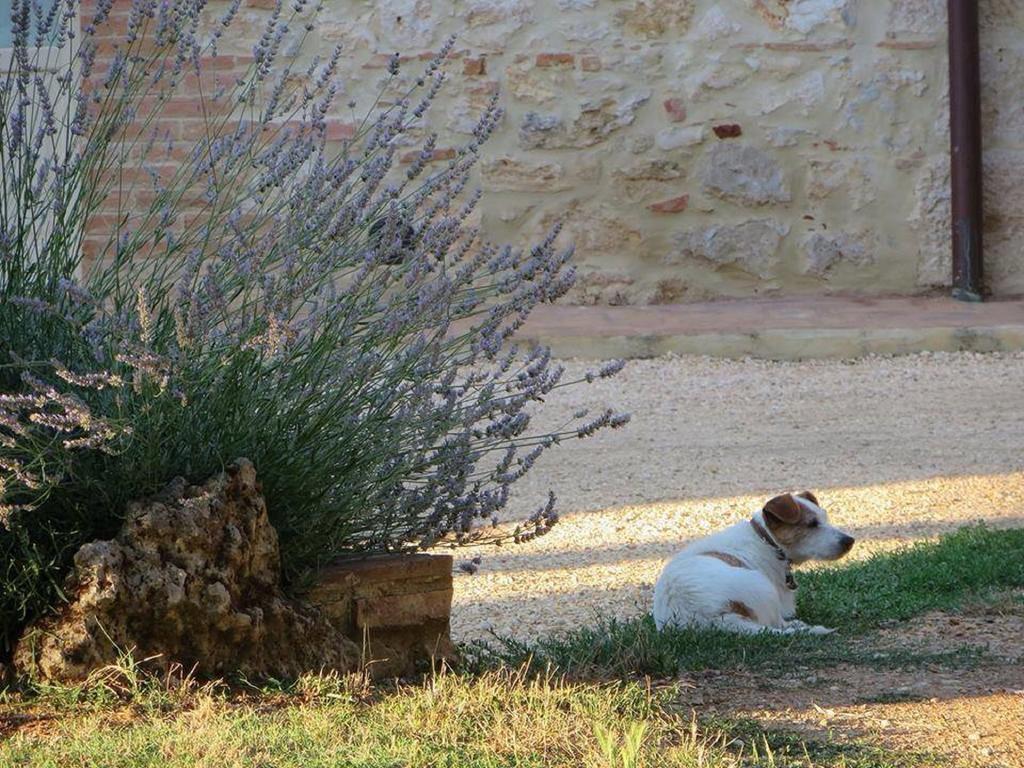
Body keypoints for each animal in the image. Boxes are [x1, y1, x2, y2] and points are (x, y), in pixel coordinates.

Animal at [655, 493, 856, 638]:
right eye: (812, 524)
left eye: (825, 518)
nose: (850, 540)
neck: (767, 540)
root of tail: (711, 619)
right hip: (764, 587)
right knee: (775, 623)